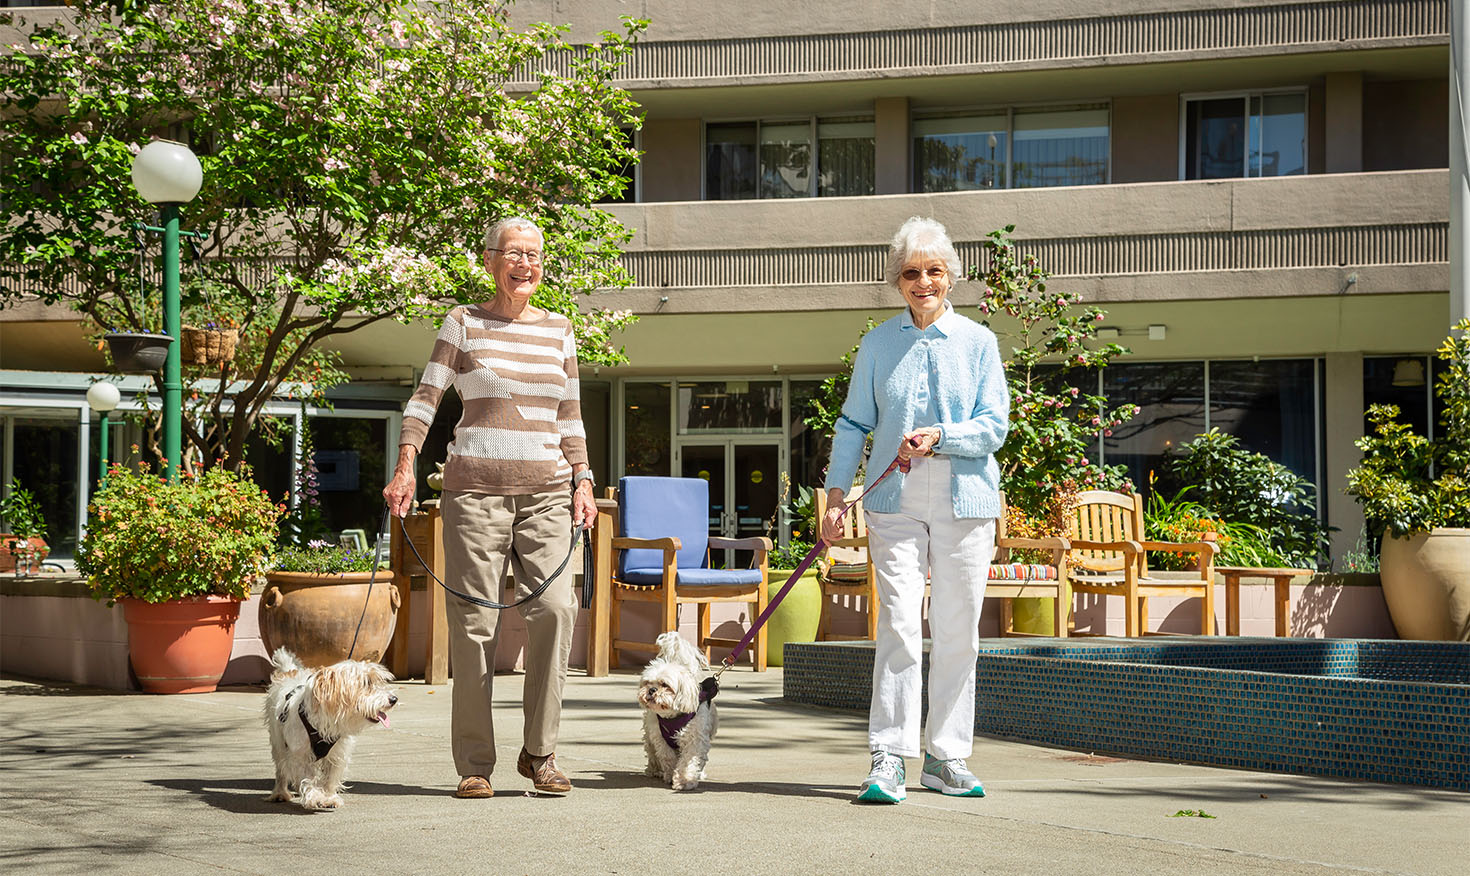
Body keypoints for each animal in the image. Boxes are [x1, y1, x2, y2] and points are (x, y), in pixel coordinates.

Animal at [258, 646, 396, 811]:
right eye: (366, 683)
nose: (394, 699)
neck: (325, 722)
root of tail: (290, 672)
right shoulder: (299, 755)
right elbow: (307, 778)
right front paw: (315, 797)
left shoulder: (337, 754)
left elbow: (330, 779)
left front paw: (329, 797)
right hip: (278, 742)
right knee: (280, 769)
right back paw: (279, 792)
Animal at [637, 626, 717, 787]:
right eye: (648, 683)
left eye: (665, 685)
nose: (651, 690)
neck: (673, 716)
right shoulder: (660, 739)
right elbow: (668, 757)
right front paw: (670, 774)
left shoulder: (695, 739)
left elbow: (689, 760)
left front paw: (685, 780)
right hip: (649, 736)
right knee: (651, 751)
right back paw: (654, 770)